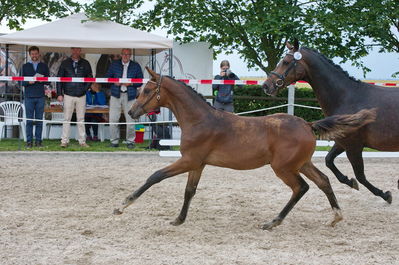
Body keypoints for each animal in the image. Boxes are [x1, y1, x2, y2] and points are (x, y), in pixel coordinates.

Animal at [264, 40, 396, 203]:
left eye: (286, 62)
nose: (266, 86)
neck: (347, 97)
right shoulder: (342, 142)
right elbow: (329, 161)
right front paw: (349, 181)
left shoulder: (353, 146)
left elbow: (361, 176)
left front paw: (385, 195)